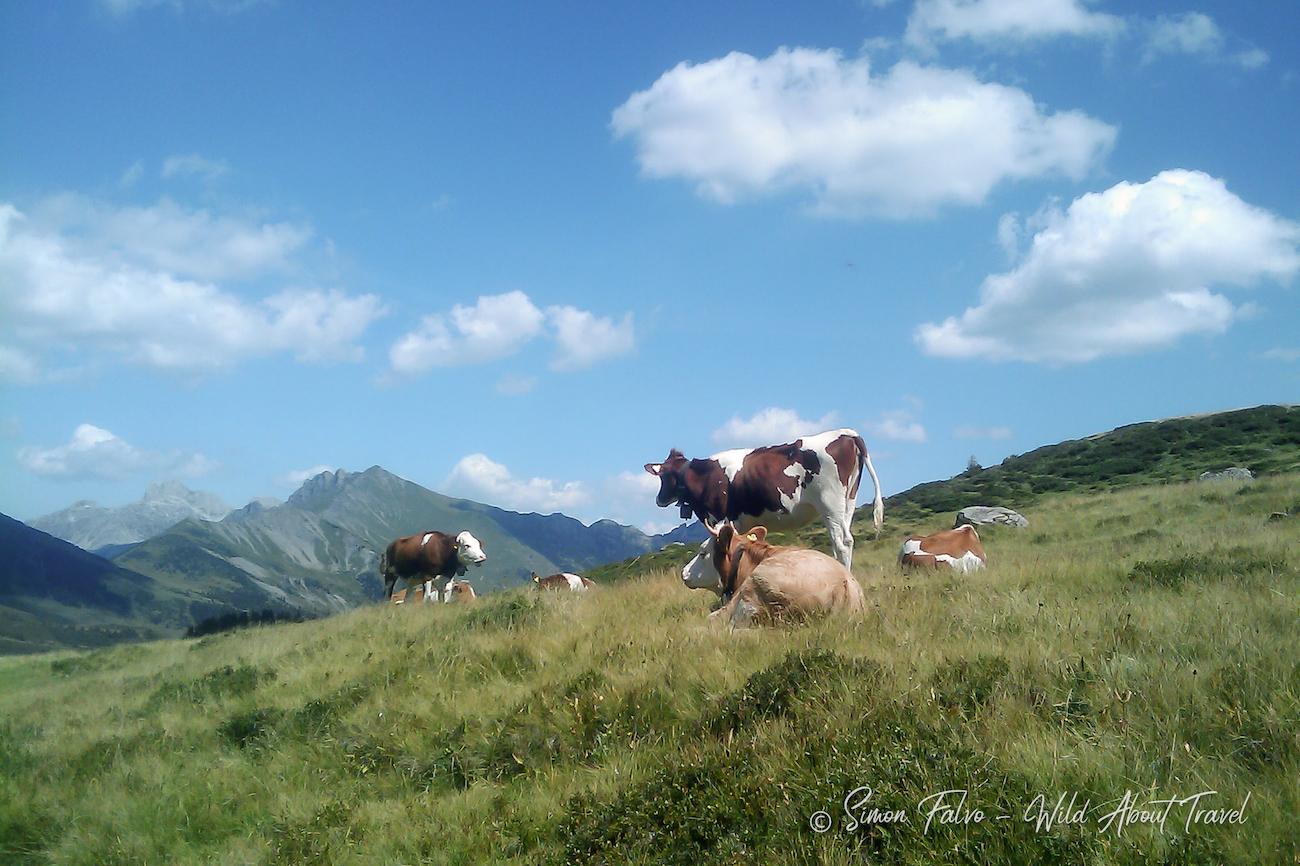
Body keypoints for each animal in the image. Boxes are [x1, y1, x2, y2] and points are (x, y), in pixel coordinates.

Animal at [642, 423, 883, 566]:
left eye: (663, 476)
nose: (658, 499)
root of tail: (848, 434)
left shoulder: (719, 519)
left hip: (829, 504)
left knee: (842, 543)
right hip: (848, 502)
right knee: (843, 541)